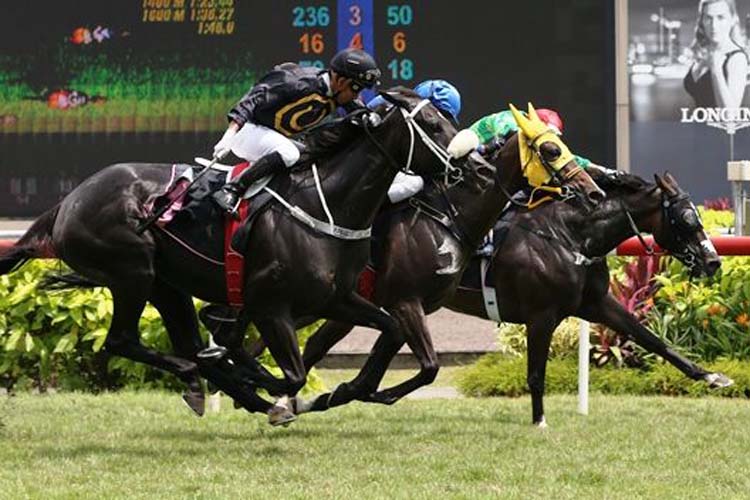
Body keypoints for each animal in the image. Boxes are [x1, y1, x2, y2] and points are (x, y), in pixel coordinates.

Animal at [0, 89, 500, 422]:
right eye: (432, 124)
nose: (480, 167)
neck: (328, 204)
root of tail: (67, 203)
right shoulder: (270, 305)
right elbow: (290, 373)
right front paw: (269, 387)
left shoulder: (337, 298)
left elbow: (387, 330)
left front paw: (347, 390)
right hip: (131, 272)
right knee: (126, 341)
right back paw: (217, 378)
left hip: (165, 284)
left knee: (183, 341)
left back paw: (211, 384)